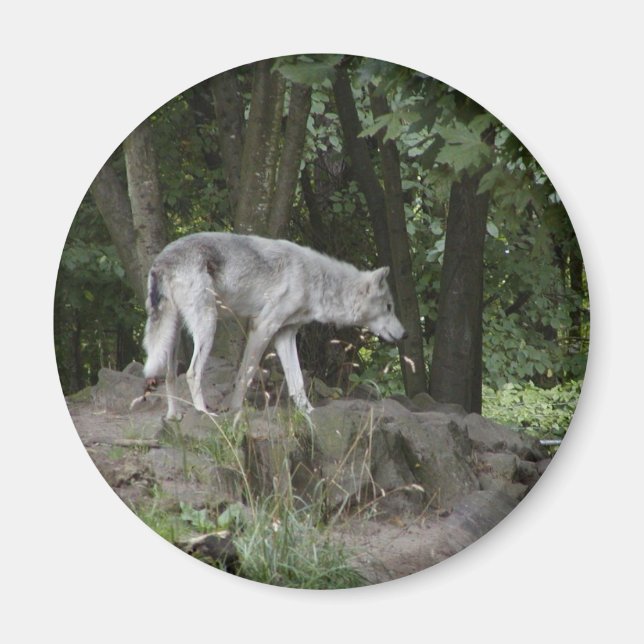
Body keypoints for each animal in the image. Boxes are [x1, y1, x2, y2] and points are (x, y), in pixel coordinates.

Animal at [140, 232, 407, 418]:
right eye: (389, 307)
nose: (404, 334)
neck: (316, 281)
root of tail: (162, 260)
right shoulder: (262, 327)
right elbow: (245, 375)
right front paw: (236, 411)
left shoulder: (285, 335)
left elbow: (297, 382)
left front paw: (309, 413)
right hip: (207, 326)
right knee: (192, 372)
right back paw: (203, 413)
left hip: (173, 334)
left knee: (170, 376)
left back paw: (174, 417)